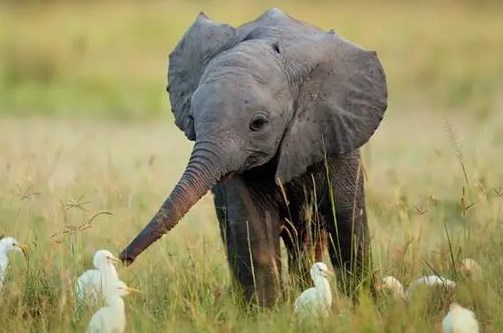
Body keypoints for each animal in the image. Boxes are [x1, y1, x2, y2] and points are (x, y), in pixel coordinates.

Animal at [120, 7, 388, 308]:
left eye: (257, 123)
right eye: (192, 118)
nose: (124, 258)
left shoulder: (334, 131)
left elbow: (346, 222)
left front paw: (365, 307)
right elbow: (253, 226)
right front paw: (266, 312)